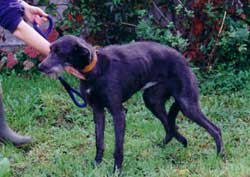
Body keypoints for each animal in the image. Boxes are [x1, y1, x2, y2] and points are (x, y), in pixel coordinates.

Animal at [39, 35, 225, 171]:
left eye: (59, 53)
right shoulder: (98, 111)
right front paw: (96, 165)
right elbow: (99, 142)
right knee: (171, 127)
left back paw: (220, 156)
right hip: (152, 101)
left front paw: (116, 171)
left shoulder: (118, 112)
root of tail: (184, 60)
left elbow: (118, 148)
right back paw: (165, 146)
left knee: (215, 129)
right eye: (50, 50)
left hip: (187, 104)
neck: (95, 70)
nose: (40, 67)